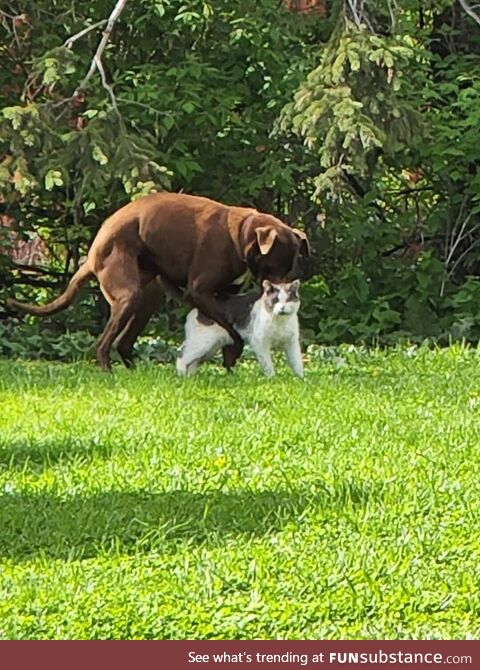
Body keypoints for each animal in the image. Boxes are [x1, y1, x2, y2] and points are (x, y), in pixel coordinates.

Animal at [176, 278, 304, 378]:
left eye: (288, 300)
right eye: (275, 300)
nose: (282, 308)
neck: (280, 322)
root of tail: (195, 308)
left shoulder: (291, 343)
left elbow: (297, 362)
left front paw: (301, 379)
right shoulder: (260, 343)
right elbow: (268, 365)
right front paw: (272, 378)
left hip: (210, 348)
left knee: (192, 362)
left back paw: (191, 377)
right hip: (203, 343)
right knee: (181, 357)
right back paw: (182, 377)